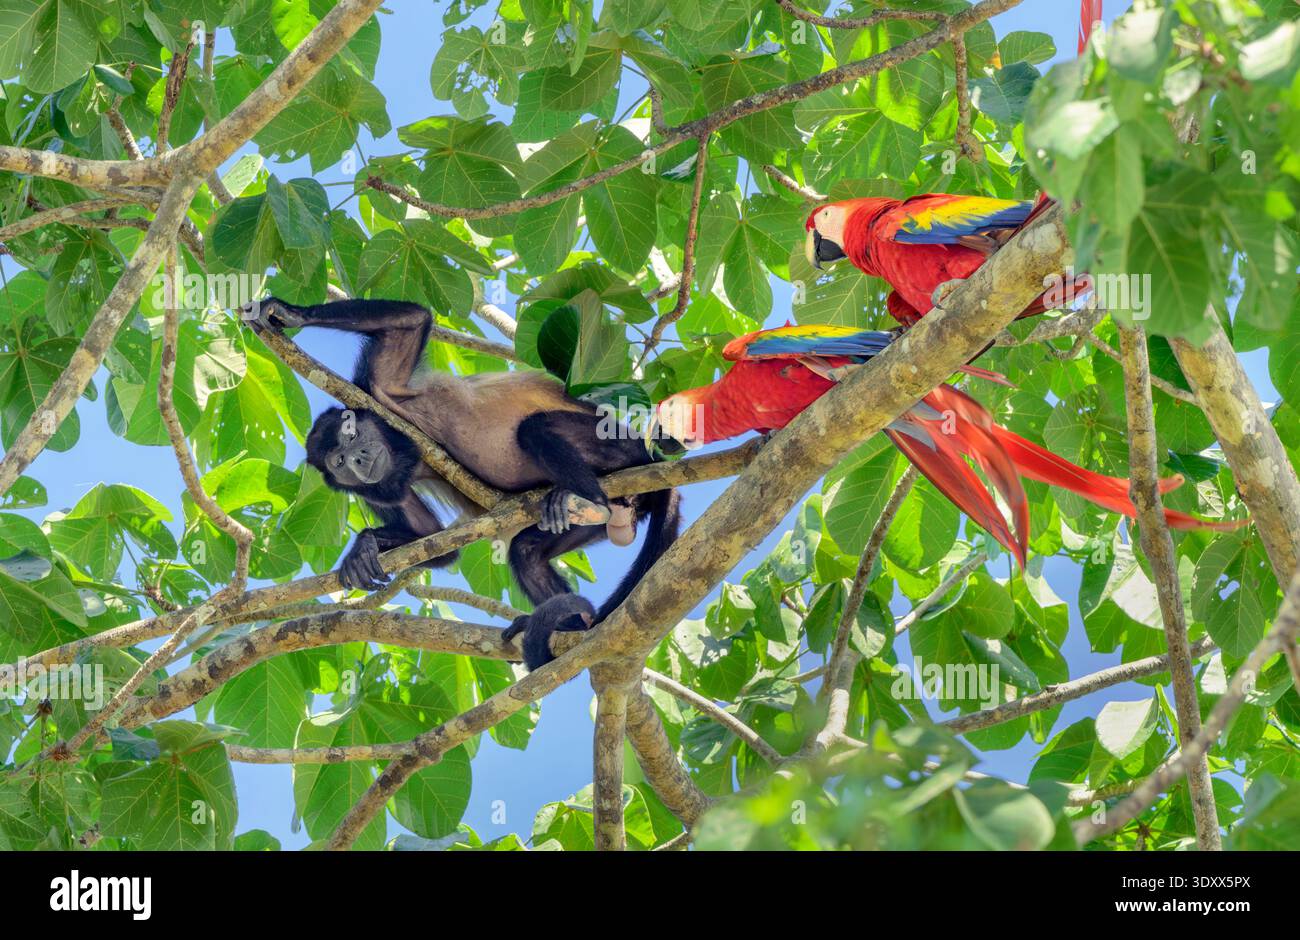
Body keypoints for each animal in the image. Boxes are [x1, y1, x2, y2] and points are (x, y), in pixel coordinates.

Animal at [240, 296, 679, 669]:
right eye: (340, 461)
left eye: (350, 435)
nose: (360, 458)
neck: (401, 446)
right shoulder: (379, 485)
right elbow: (434, 541)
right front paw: (363, 548)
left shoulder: (376, 394)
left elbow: (411, 321)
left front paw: (288, 312)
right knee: (526, 552)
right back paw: (570, 624)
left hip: (618, 447)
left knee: (537, 429)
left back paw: (579, 493)